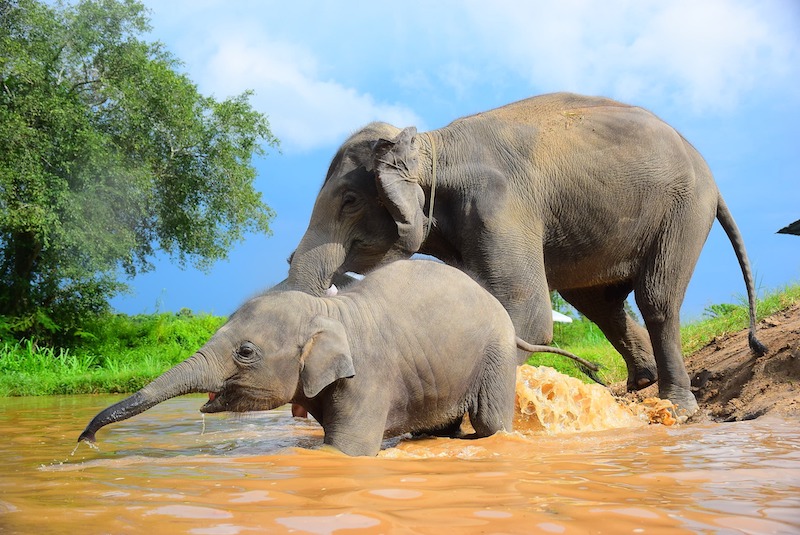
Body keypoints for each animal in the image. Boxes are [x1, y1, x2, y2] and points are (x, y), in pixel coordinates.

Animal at [79, 260, 592, 456]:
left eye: (245, 352)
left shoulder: (367, 378)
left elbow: (346, 451)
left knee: (489, 423)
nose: (84, 440)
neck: (330, 311)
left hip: (494, 357)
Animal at [284, 93, 764, 418]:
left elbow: (526, 314)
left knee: (656, 298)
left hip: (683, 211)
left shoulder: (500, 206)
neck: (432, 145)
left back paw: (676, 406)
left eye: (349, 202)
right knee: (599, 304)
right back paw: (639, 383)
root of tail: (708, 172)